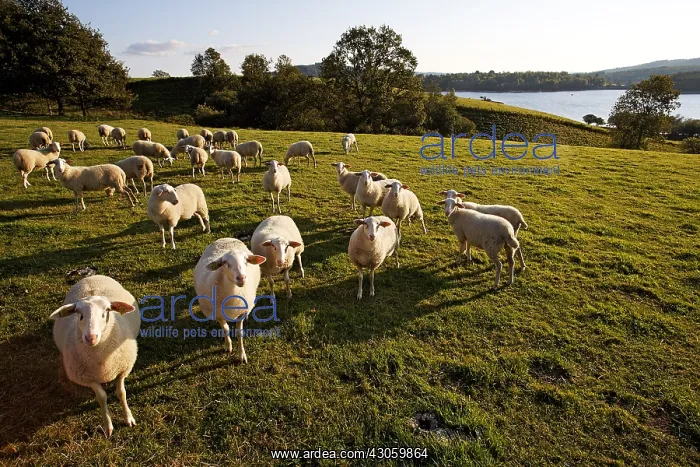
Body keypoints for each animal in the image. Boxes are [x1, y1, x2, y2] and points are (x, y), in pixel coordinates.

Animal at [50, 275, 140, 437]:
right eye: (79, 313)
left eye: (107, 310)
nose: (91, 337)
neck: (102, 364)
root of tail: (92, 276)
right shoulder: (87, 378)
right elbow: (102, 397)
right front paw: (108, 425)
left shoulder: (123, 369)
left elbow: (121, 393)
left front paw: (129, 418)